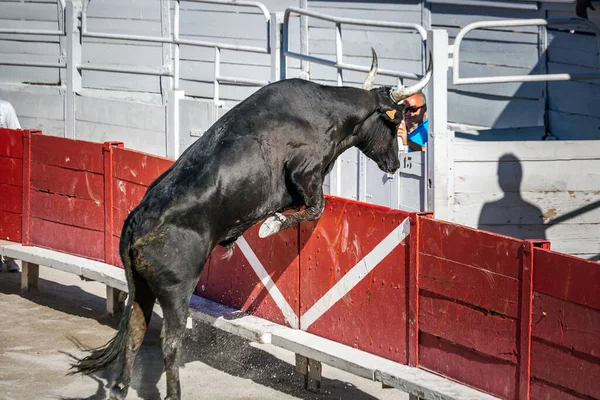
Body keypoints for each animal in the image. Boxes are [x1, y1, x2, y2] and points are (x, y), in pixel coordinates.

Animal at [71, 53, 432, 400]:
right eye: (395, 122)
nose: (395, 164)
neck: (330, 111)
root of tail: (137, 220)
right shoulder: (304, 172)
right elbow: (316, 207)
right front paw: (271, 225)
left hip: (141, 287)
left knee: (134, 333)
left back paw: (119, 388)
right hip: (176, 290)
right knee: (169, 343)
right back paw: (173, 394)